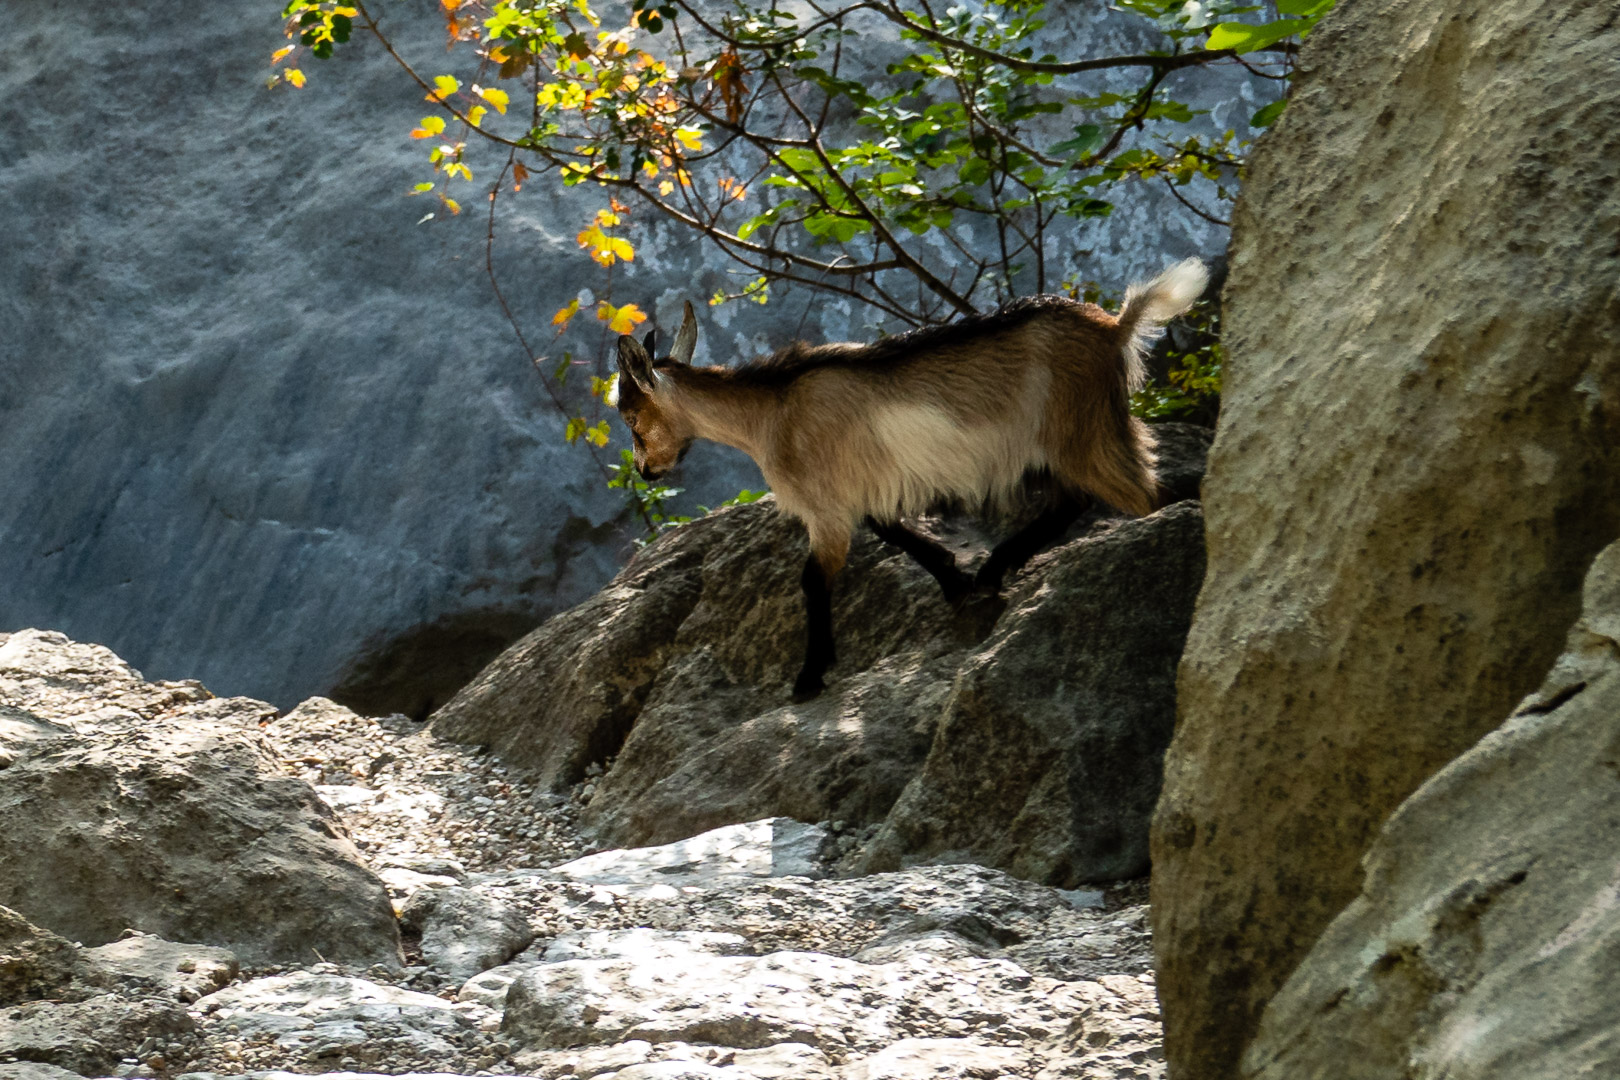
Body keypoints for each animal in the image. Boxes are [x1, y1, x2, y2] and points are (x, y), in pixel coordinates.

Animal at [612, 260, 1211, 702]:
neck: (773, 410)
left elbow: (813, 580)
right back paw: (992, 572)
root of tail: (1116, 329)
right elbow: (894, 532)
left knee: (1146, 495)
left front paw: (808, 679)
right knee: (1077, 500)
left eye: (631, 418)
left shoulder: (826, 508)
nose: (646, 470)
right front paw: (956, 583)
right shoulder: (860, 491)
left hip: (1084, 433)